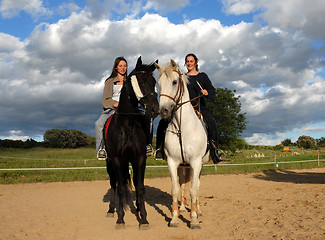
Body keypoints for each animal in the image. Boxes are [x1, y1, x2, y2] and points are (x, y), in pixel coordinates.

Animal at [104, 55, 158, 229]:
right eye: (140, 81)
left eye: (154, 82)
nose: (154, 109)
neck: (127, 124)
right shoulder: (117, 160)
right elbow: (120, 188)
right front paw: (120, 218)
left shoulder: (139, 158)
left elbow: (140, 188)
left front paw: (144, 218)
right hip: (110, 163)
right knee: (114, 184)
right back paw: (111, 210)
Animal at [154, 60, 209, 229]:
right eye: (159, 84)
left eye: (174, 82)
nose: (163, 111)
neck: (182, 127)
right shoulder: (173, 162)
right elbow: (175, 189)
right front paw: (174, 218)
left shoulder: (196, 162)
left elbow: (194, 190)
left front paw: (194, 219)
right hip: (183, 166)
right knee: (184, 184)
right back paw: (183, 208)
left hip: (197, 166)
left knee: (196, 185)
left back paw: (198, 210)